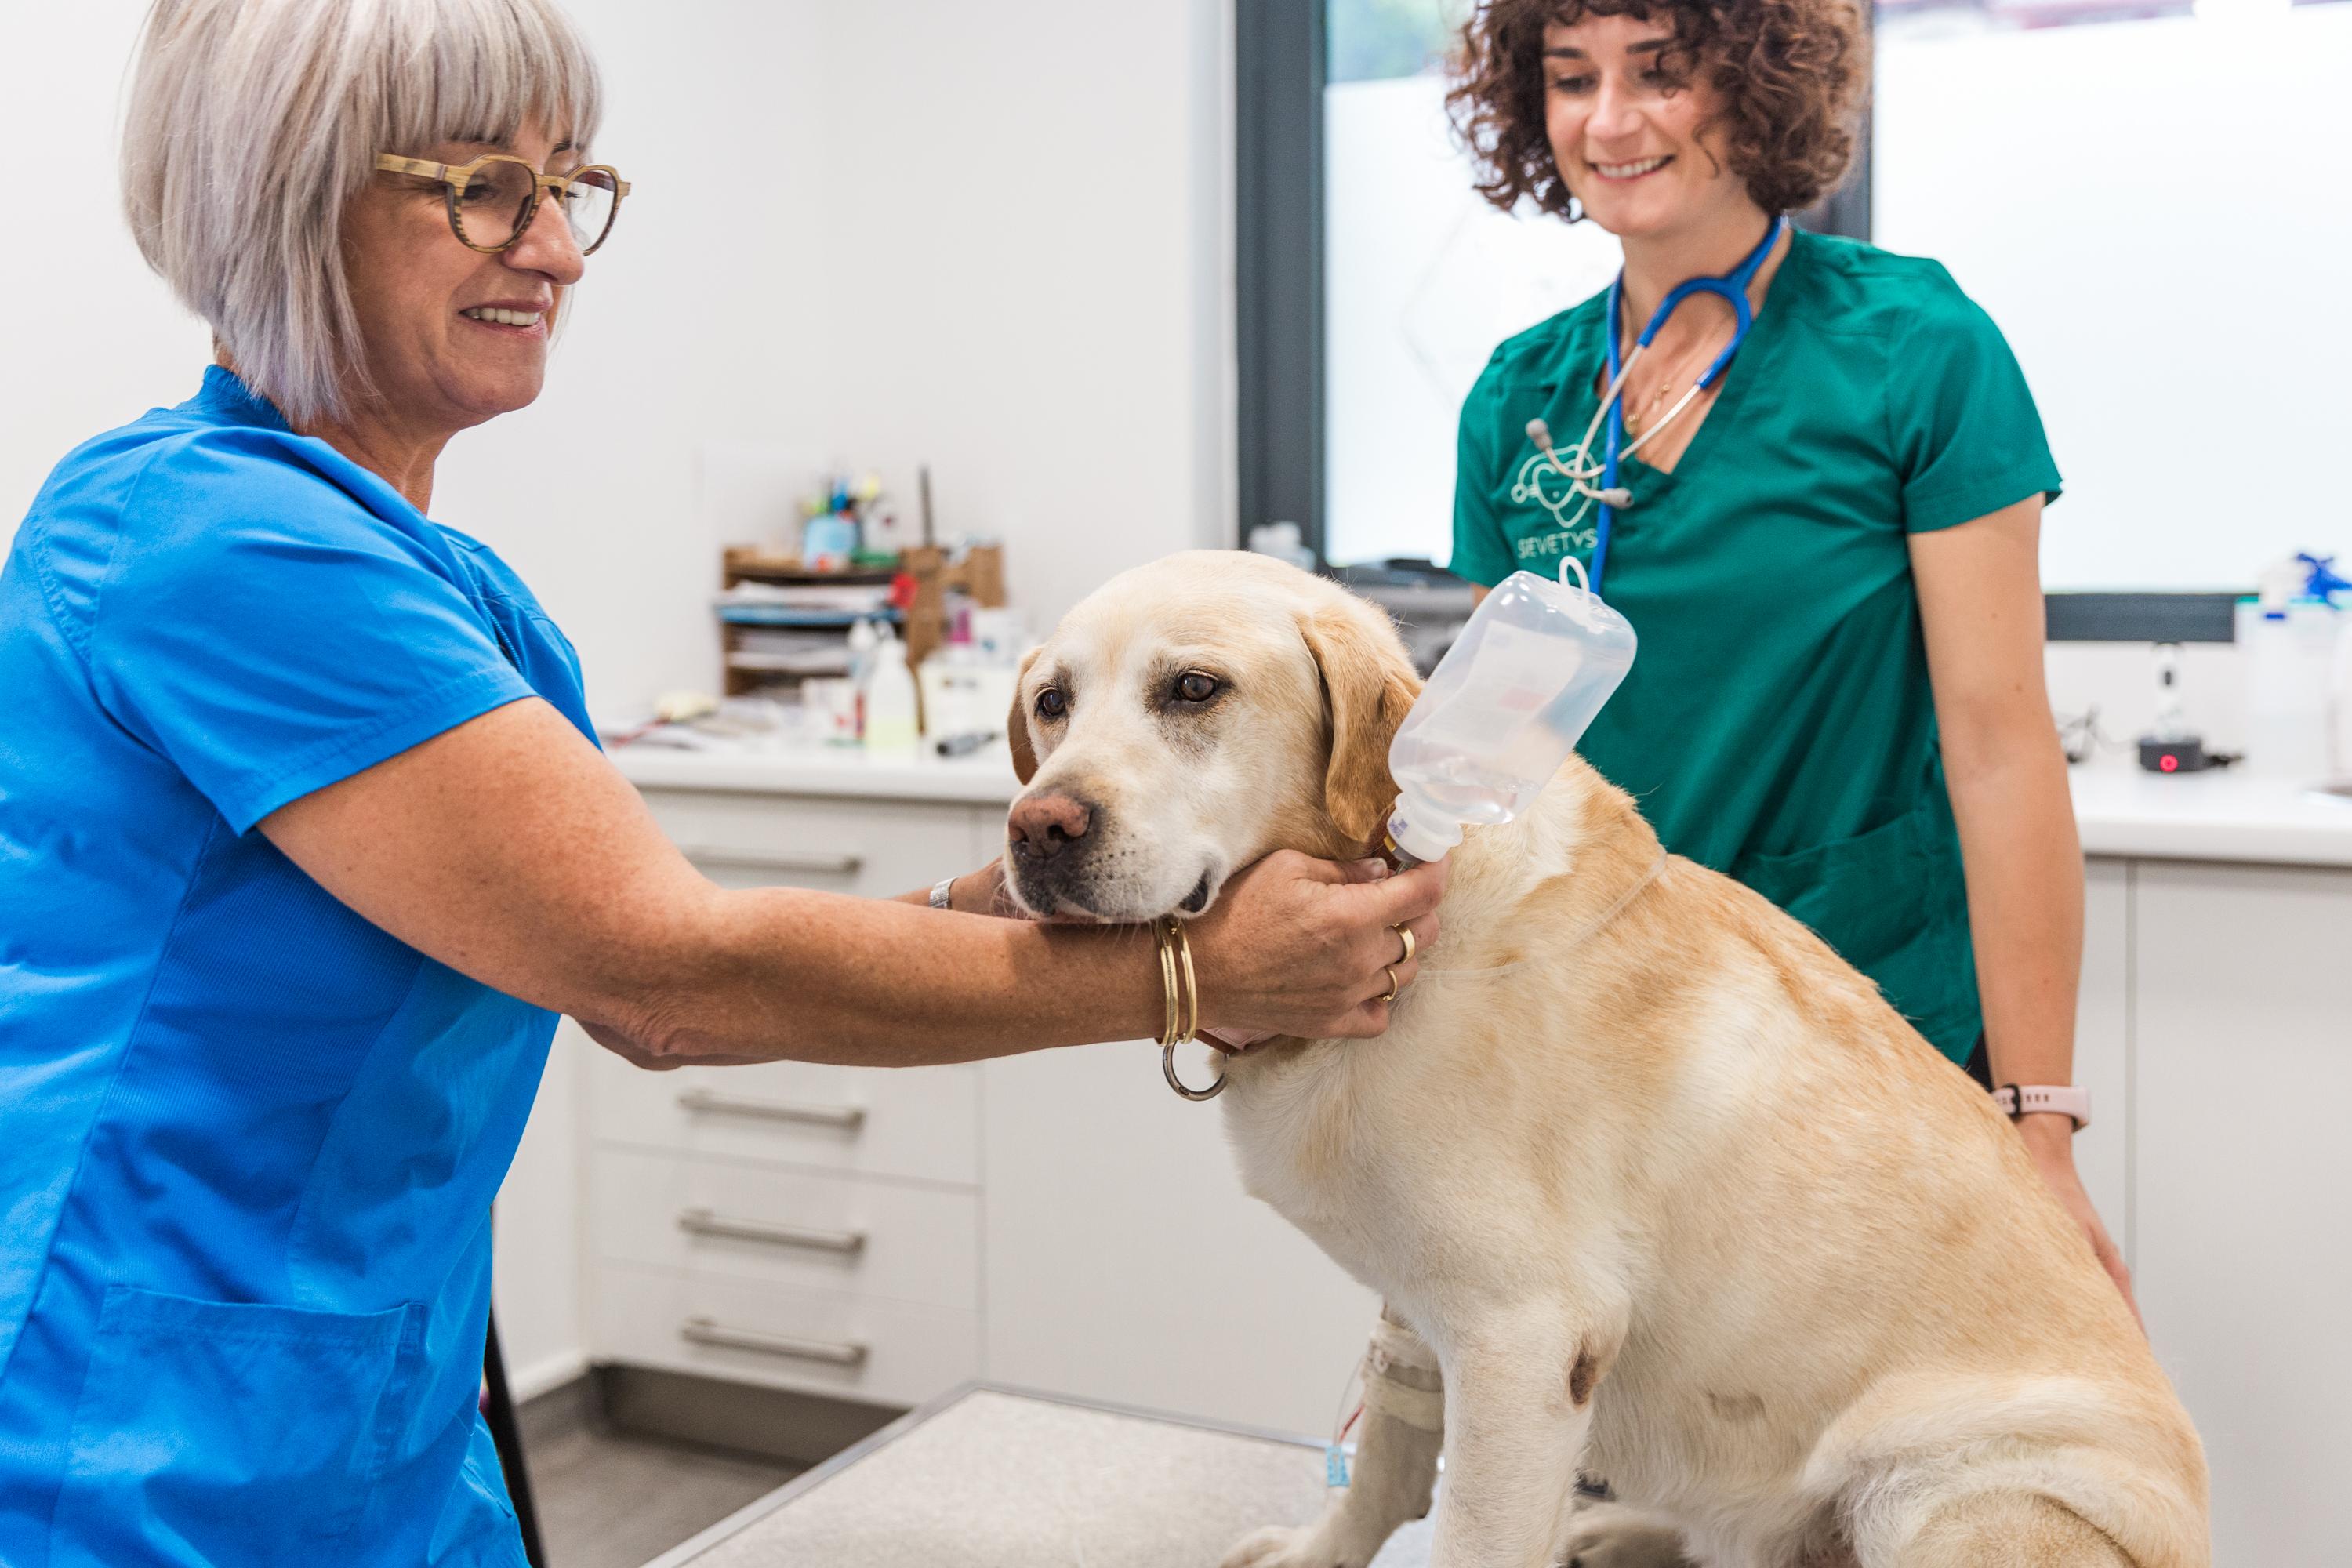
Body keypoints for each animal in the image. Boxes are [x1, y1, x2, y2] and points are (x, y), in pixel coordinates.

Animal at [1007, 552, 2201, 1568]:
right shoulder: (1420, 1309)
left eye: (1193, 689)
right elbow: (1385, 1459)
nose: (1036, 827)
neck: (1416, 920)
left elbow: (1472, 1536)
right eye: (1051, 702)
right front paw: (1319, 1554)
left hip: (1957, 1501)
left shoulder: (1523, 1339)